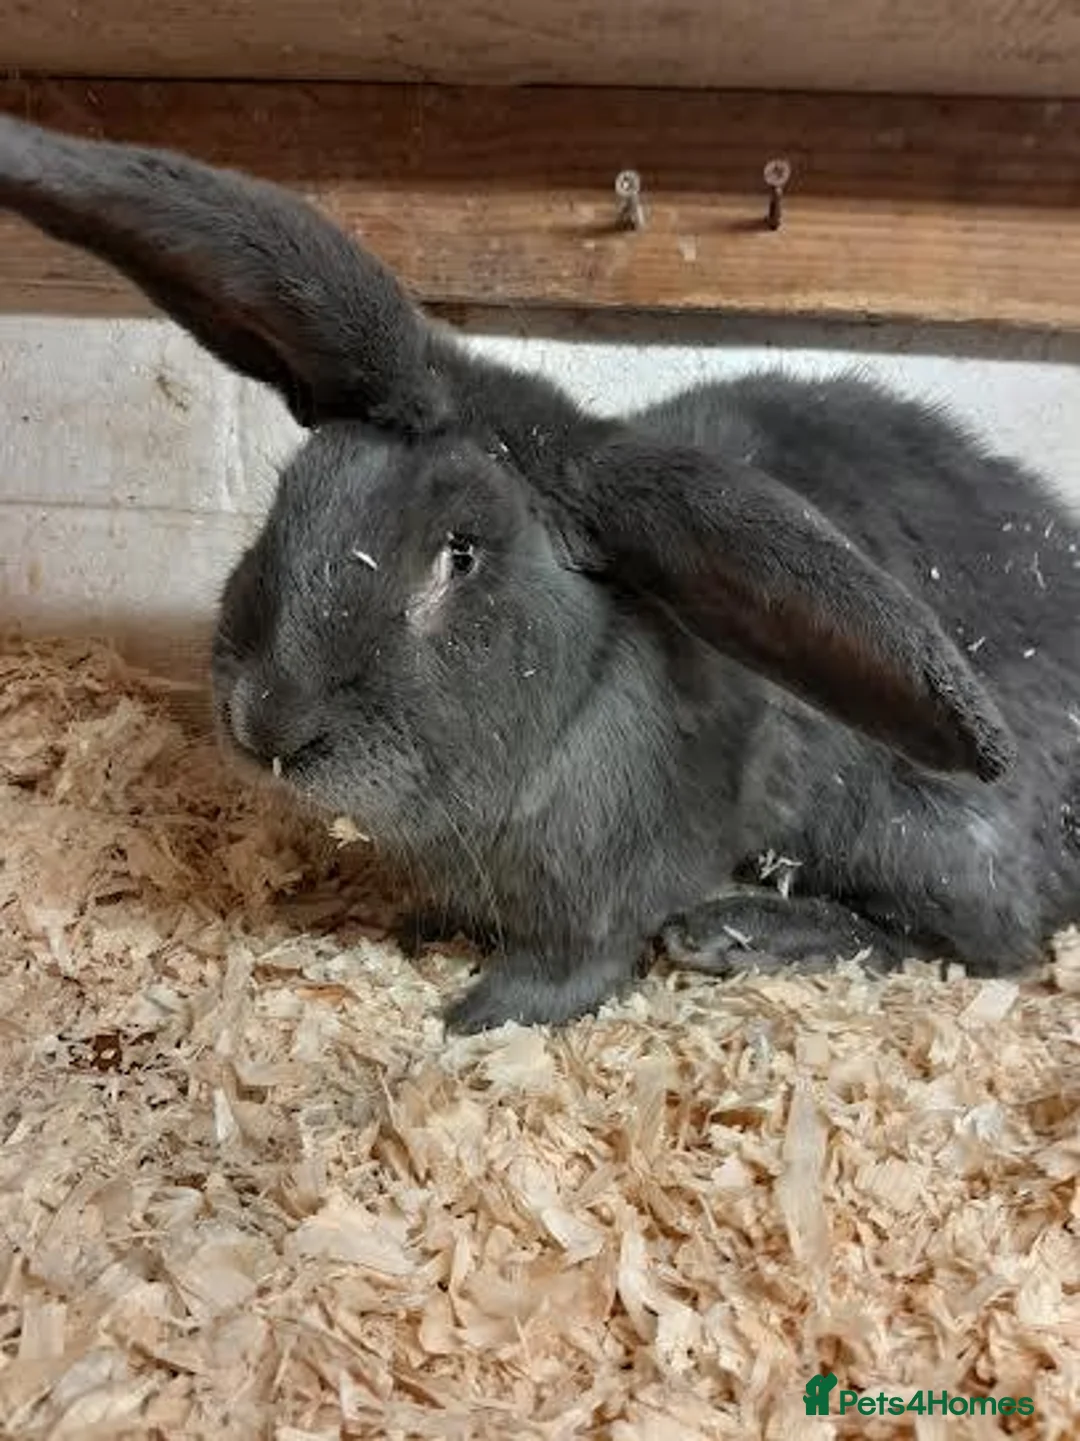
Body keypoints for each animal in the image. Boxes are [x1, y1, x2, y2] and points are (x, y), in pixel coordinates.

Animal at [1, 111, 1078, 1034]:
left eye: (460, 555)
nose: (266, 721)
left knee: (979, 943)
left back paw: (742, 931)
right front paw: (421, 931)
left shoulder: (610, 890)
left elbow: (576, 964)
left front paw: (478, 1014)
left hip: (928, 835)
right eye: (293, 494)